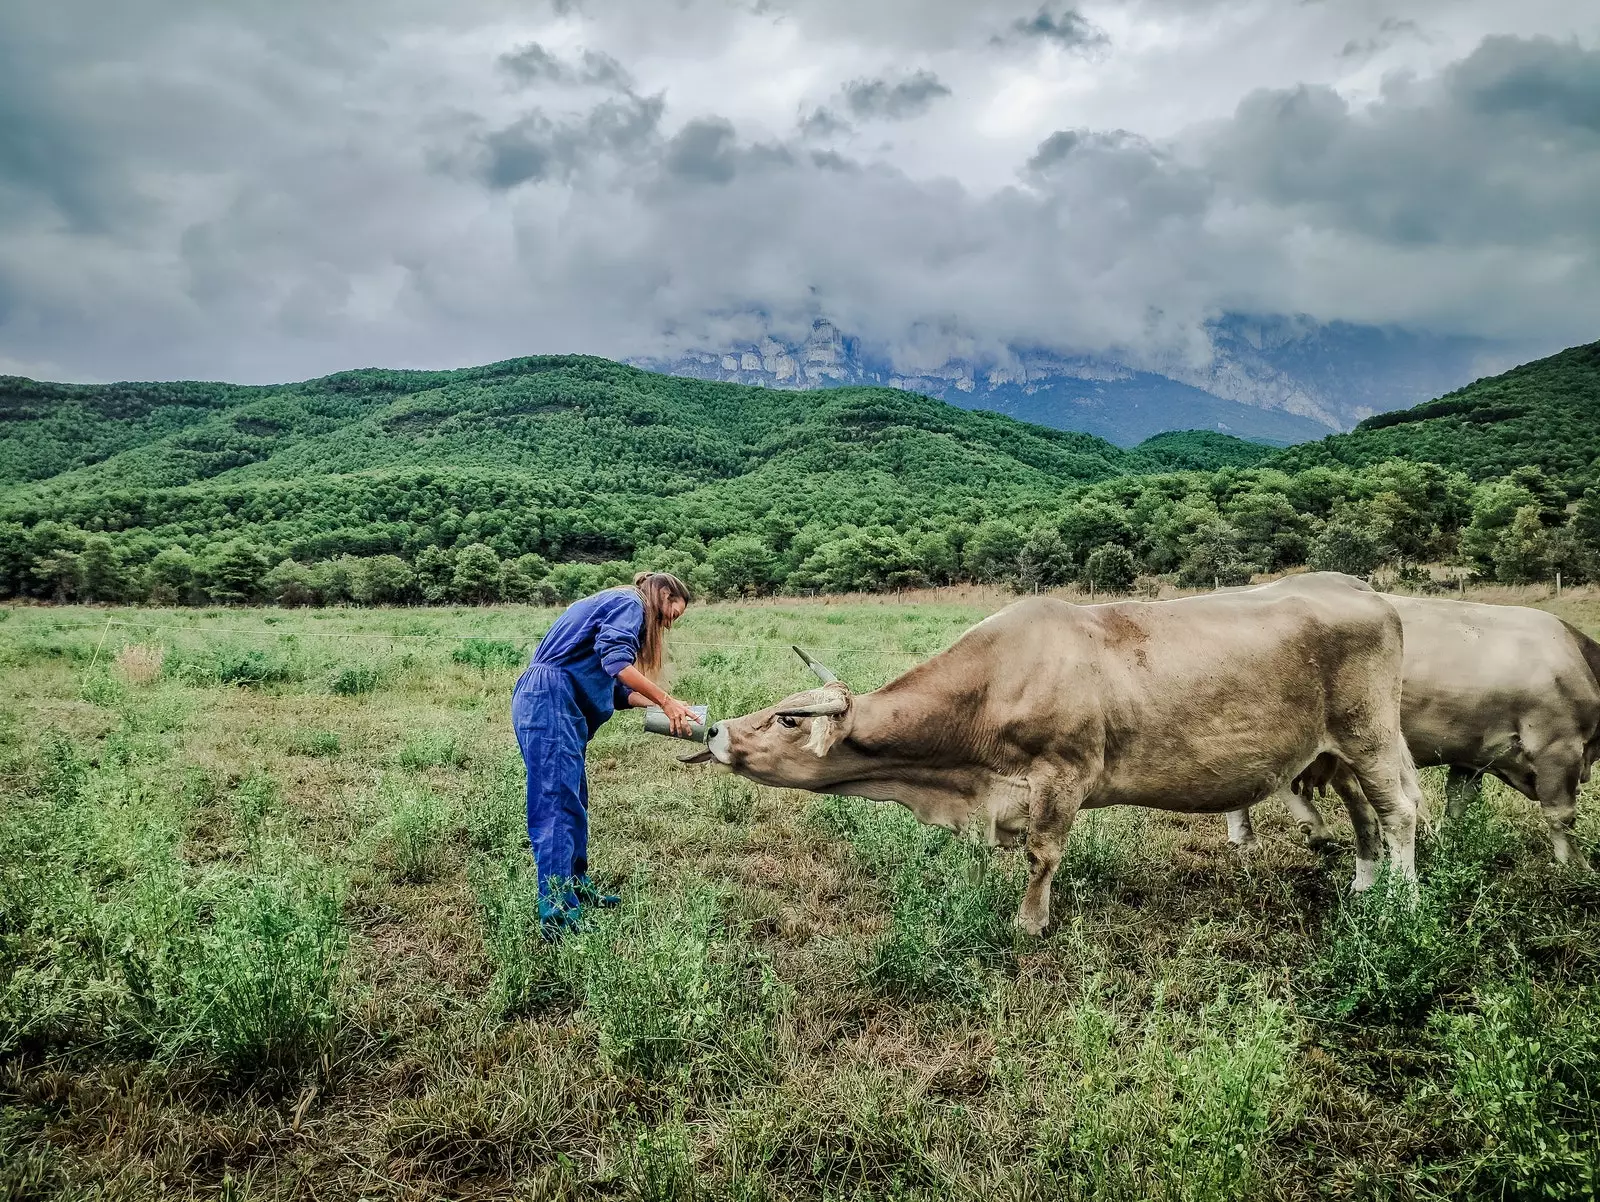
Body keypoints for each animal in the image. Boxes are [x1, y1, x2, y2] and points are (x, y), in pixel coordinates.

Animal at [684, 576, 1427, 941]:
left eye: (786, 719)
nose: (715, 730)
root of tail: (1368, 595)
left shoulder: (1061, 778)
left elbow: (1043, 856)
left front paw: (1031, 923)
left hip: (1371, 735)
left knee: (1400, 813)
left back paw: (1404, 901)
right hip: (1339, 751)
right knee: (1366, 813)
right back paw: (1363, 885)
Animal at [1228, 598, 1593, 870]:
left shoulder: (1472, 753)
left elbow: (1459, 801)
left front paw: (1450, 842)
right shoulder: (1557, 745)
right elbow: (1561, 815)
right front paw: (1574, 868)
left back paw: (1250, 839)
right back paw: (1306, 829)